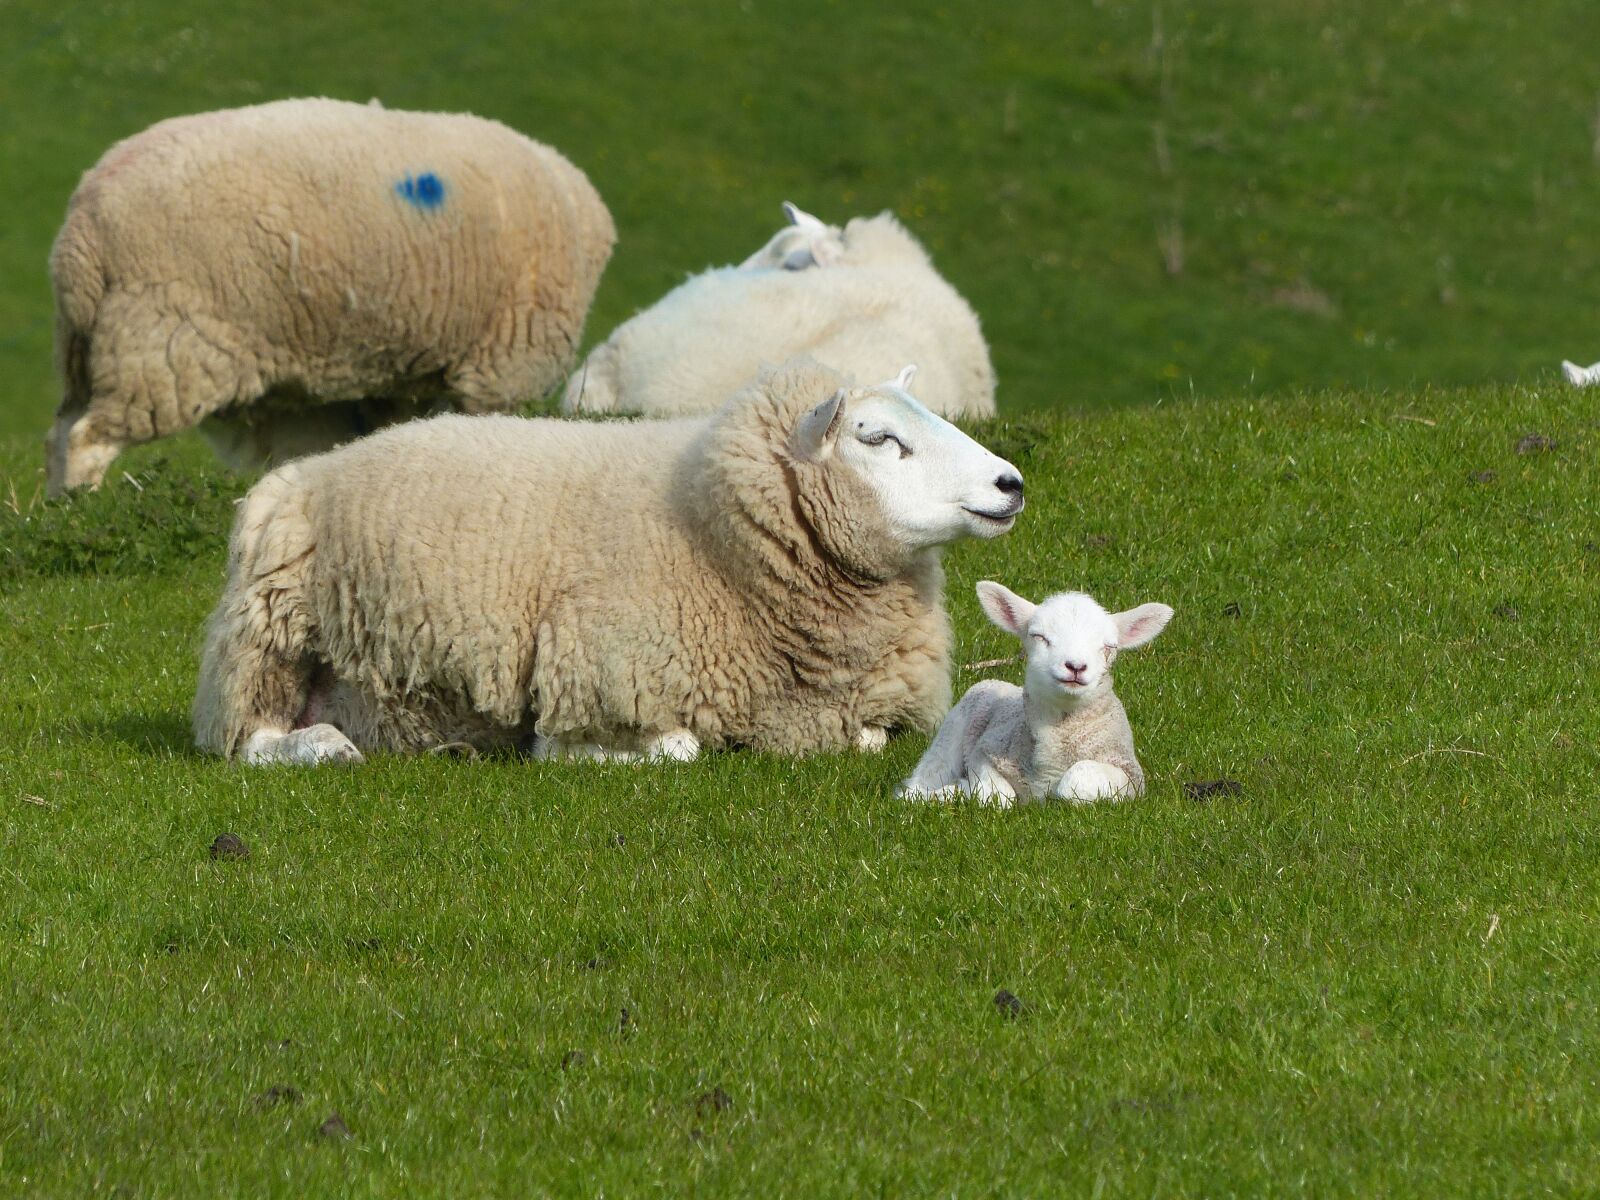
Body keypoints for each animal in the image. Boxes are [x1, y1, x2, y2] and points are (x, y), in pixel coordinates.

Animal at [46, 97, 615, 496]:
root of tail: (82, 233)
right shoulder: (503, 362)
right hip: (162, 341)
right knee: (88, 437)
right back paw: (85, 505)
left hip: (87, 348)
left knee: (60, 432)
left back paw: (58, 515)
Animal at [192, 360, 1027, 766]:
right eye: (877, 438)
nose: (1010, 483)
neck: (706, 534)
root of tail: (297, 474)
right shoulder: (597, 670)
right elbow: (674, 748)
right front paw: (561, 753)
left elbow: (868, 739)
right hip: (269, 638)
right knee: (248, 741)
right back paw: (323, 748)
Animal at [898, 582, 1172, 806]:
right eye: (1038, 636)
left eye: (1109, 647)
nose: (1075, 666)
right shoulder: (985, 750)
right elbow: (997, 797)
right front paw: (964, 789)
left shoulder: (1130, 776)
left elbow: (1075, 779)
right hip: (953, 730)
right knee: (925, 777)